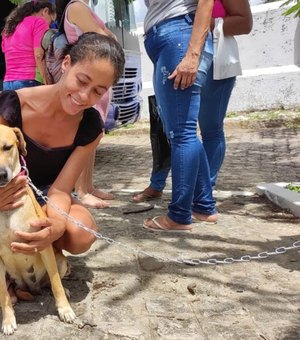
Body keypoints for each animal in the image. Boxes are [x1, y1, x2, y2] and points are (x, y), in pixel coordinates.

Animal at [0, 125, 76, 334]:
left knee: (52, 281)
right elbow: (3, 295)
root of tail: (31, 288)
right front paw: (7, 320)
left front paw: (65, 309)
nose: (1, 175)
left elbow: (56, 283)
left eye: (7, 147)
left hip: (61, 261)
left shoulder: (43, 245)